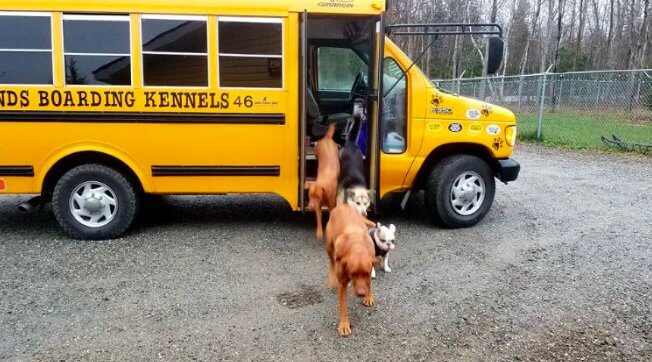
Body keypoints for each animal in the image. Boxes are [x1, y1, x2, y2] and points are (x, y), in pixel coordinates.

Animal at [324, 204, 376, 336]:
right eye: (353, 274)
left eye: (367, 273)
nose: (362, 294)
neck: (356, 244)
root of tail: (343, 205)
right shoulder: (342, 283)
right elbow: (343, 307)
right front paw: (344, 325)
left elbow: (369, 283)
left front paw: (369, 296)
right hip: (329, 247)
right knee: (331, 262)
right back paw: (332, 279)